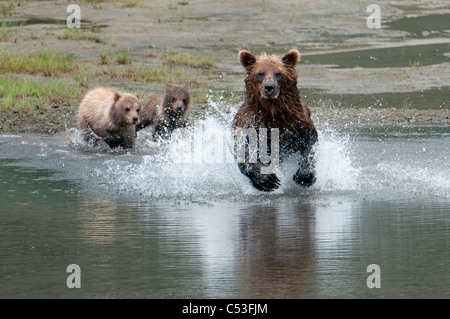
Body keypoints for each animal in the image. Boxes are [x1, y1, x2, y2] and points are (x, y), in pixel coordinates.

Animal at [234, 48, 318, 191]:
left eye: (278, 73)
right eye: (260, 73)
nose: (269, 87)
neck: (272, 110)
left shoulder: (298, 122)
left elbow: (310, 141)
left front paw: (304, 176)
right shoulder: (251, 122)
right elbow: (243, 149)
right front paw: (266, 179)